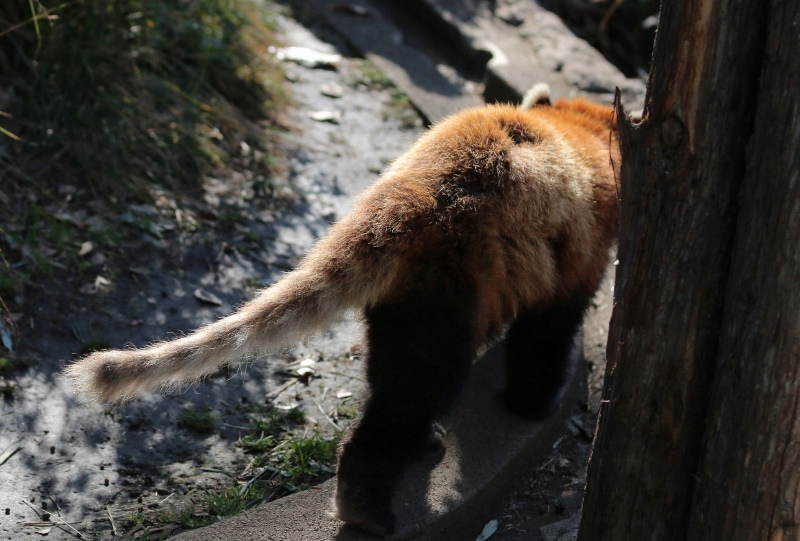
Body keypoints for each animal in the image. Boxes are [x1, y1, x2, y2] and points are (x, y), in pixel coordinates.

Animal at [65, 85, 620, 536]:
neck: (582, 132)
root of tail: (414, 195)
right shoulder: (579, 250)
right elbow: (546, 335)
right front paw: (533, 403)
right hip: (452, 277)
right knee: (420, 387)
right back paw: (367, 505)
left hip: (407, 293)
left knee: (398, 377)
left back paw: (410, 453)